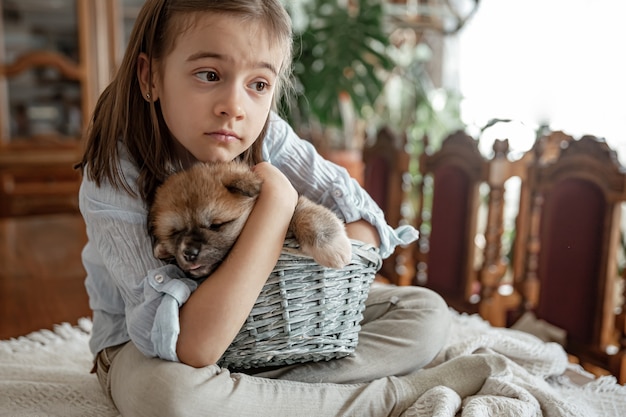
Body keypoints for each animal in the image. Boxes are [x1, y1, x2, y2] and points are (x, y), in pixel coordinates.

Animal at [147, 161, 352, 278]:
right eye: (176, 232)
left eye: (216, 225)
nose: (189, 253)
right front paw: (162, 249)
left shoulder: (296, 203)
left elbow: (308, 215)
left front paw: (333, 248)